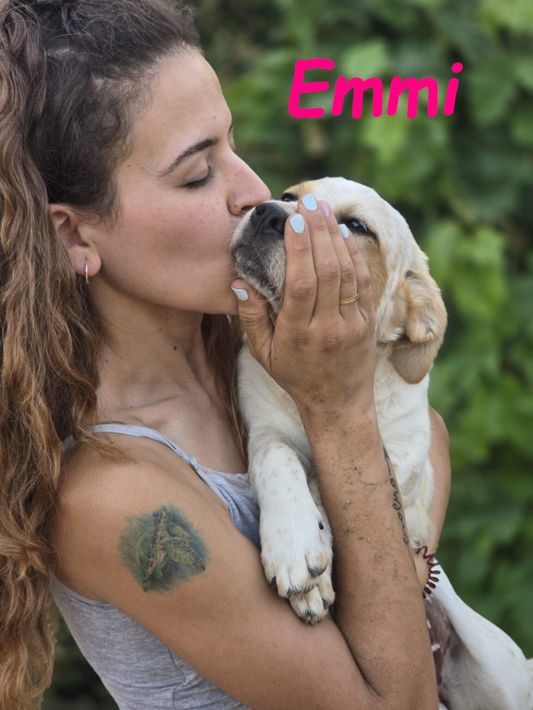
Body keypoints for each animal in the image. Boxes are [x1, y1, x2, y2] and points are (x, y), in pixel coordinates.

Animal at [230, 177, 533, 709]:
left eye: (355, 226)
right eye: (288, 196)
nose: (266, 212)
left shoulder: (405, 454)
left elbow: (323, 478)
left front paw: (310, 556)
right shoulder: (262, 426)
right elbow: (280, 460)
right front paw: (294, 544)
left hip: (501, 669)